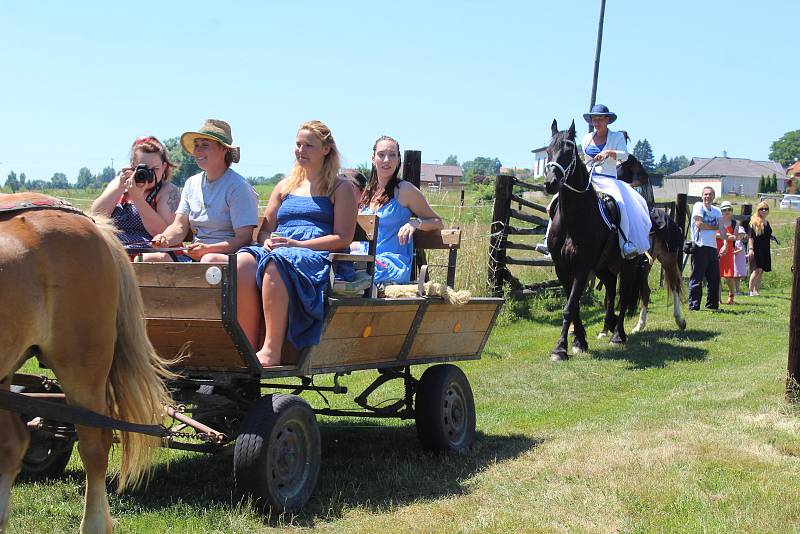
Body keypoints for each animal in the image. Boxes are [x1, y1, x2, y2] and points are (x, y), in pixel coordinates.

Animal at [544, 121, 644, 362]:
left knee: (623, 297)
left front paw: (560, 349)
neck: (574, 217)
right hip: (603, 267)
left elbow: (570, 306)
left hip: (628, 265)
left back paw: (617, 335)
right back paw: (608, 327)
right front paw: (579, 341)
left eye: (569, 151)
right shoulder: (562, 267)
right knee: (610, 293)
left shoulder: (582, 267)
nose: (550, 183)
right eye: (548, 151)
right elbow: (574, 306)